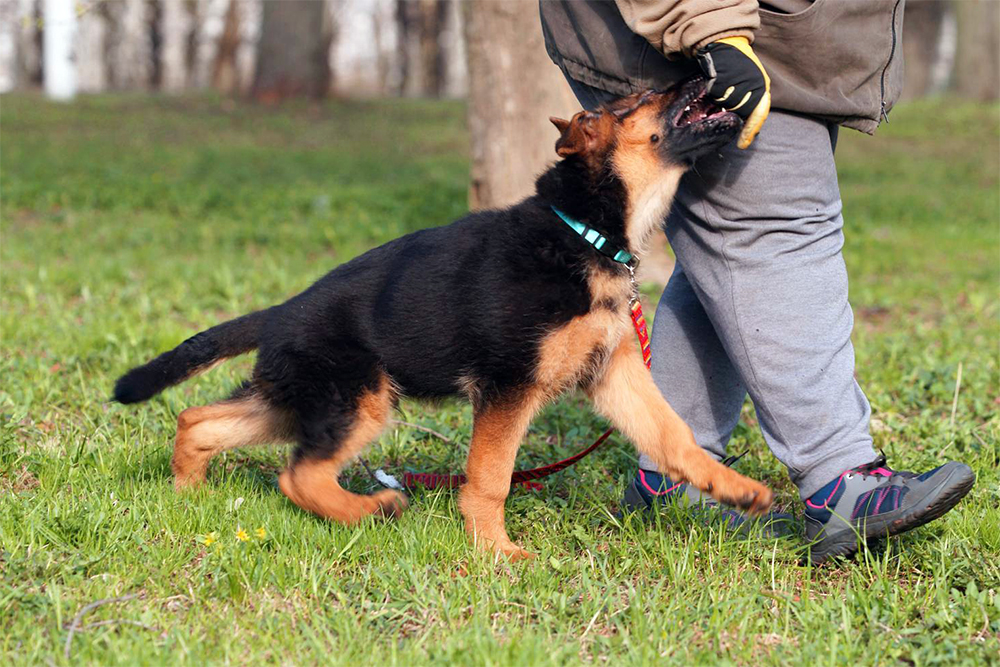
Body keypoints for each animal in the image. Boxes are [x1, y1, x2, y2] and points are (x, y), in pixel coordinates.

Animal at [115, 77, 772, 560]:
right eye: (639, 101)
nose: (701, 68)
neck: (584, 231)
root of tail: (281, 311)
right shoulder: (509, 386)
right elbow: (491, 476)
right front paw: (497, 554)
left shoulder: (614, 376)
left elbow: (673, 435)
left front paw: (734, 490)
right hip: (358, 399)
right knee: (298, 476)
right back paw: (371, 509)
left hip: (297, 399)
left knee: (198, 421)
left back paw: (188, 498)